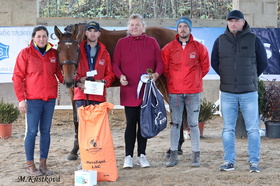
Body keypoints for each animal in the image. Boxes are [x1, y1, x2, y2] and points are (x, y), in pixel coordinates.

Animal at [54, 23, 177, 160]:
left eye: (77, 50)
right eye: (59, 50)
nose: (69, 80)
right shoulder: (73, 91)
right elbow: (76, 119)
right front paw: (74, 150)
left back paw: (172, 150)